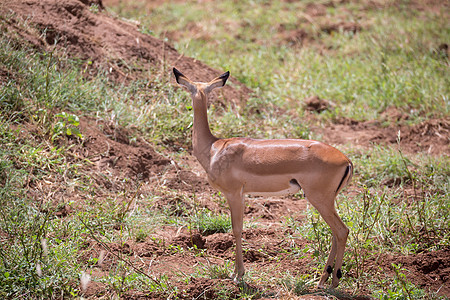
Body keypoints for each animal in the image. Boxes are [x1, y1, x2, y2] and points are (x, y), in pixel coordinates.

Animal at [172, 67, 352, 288]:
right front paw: (236, 273)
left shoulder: (233, 194)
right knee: (336, 232)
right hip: (326, 201)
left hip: (319, 199)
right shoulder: (241, 195)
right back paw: (322, 280)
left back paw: (333, 282)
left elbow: (236, 229)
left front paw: (238, 276)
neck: (214, 148)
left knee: (341, 231)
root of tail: (346, 160)